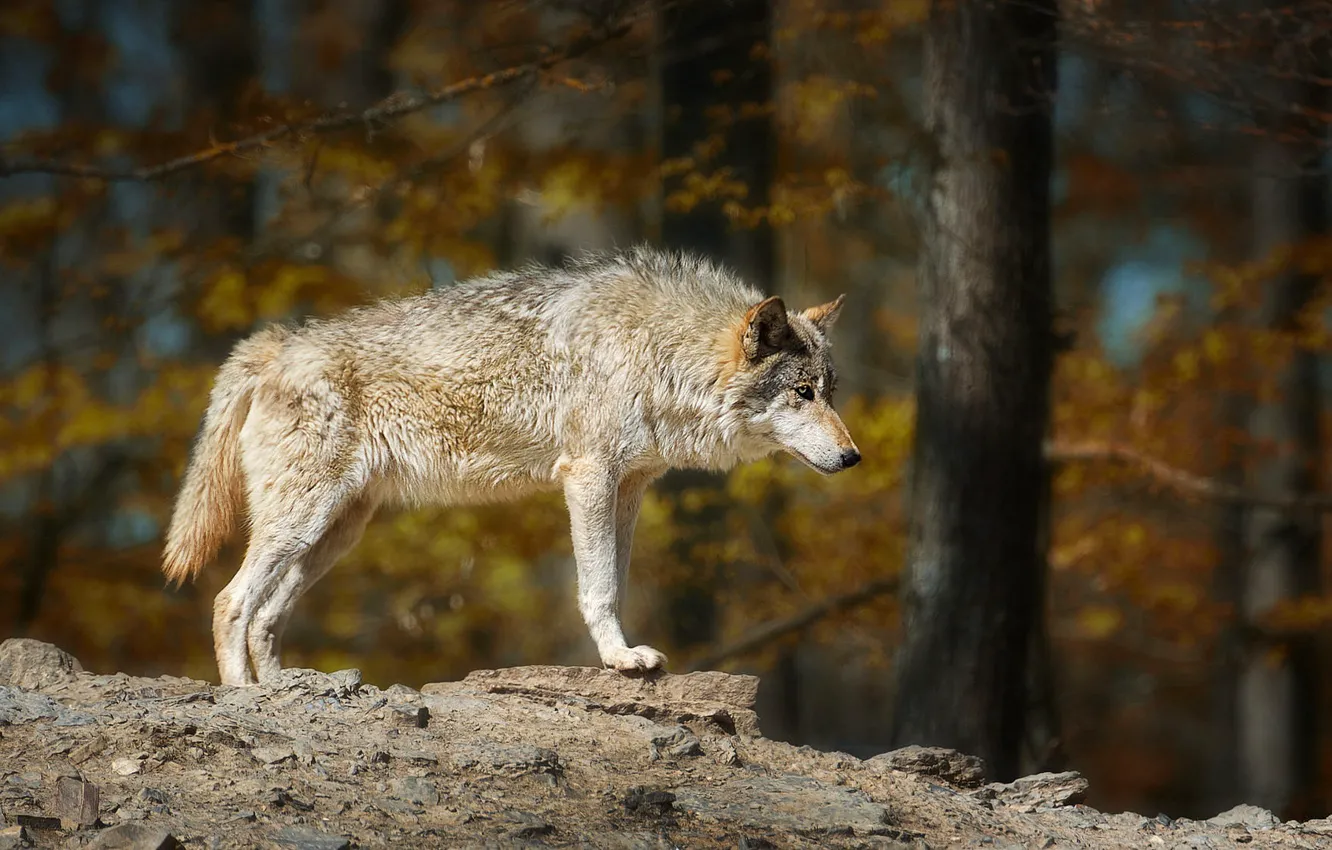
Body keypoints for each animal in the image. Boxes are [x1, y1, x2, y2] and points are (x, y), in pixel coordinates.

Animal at [162, 247, 860, 686]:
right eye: (802, 393)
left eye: (830, 391)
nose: (853, 456)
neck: (658, 351)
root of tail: (276, 344)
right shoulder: (588, 476)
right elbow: (599, 587)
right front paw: (620, 660)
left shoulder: (630, 487)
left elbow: (616, 579)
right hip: (302, 521)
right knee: (230, 602)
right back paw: (243, 697)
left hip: (336, 533)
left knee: (266, 617)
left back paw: (282, 693)